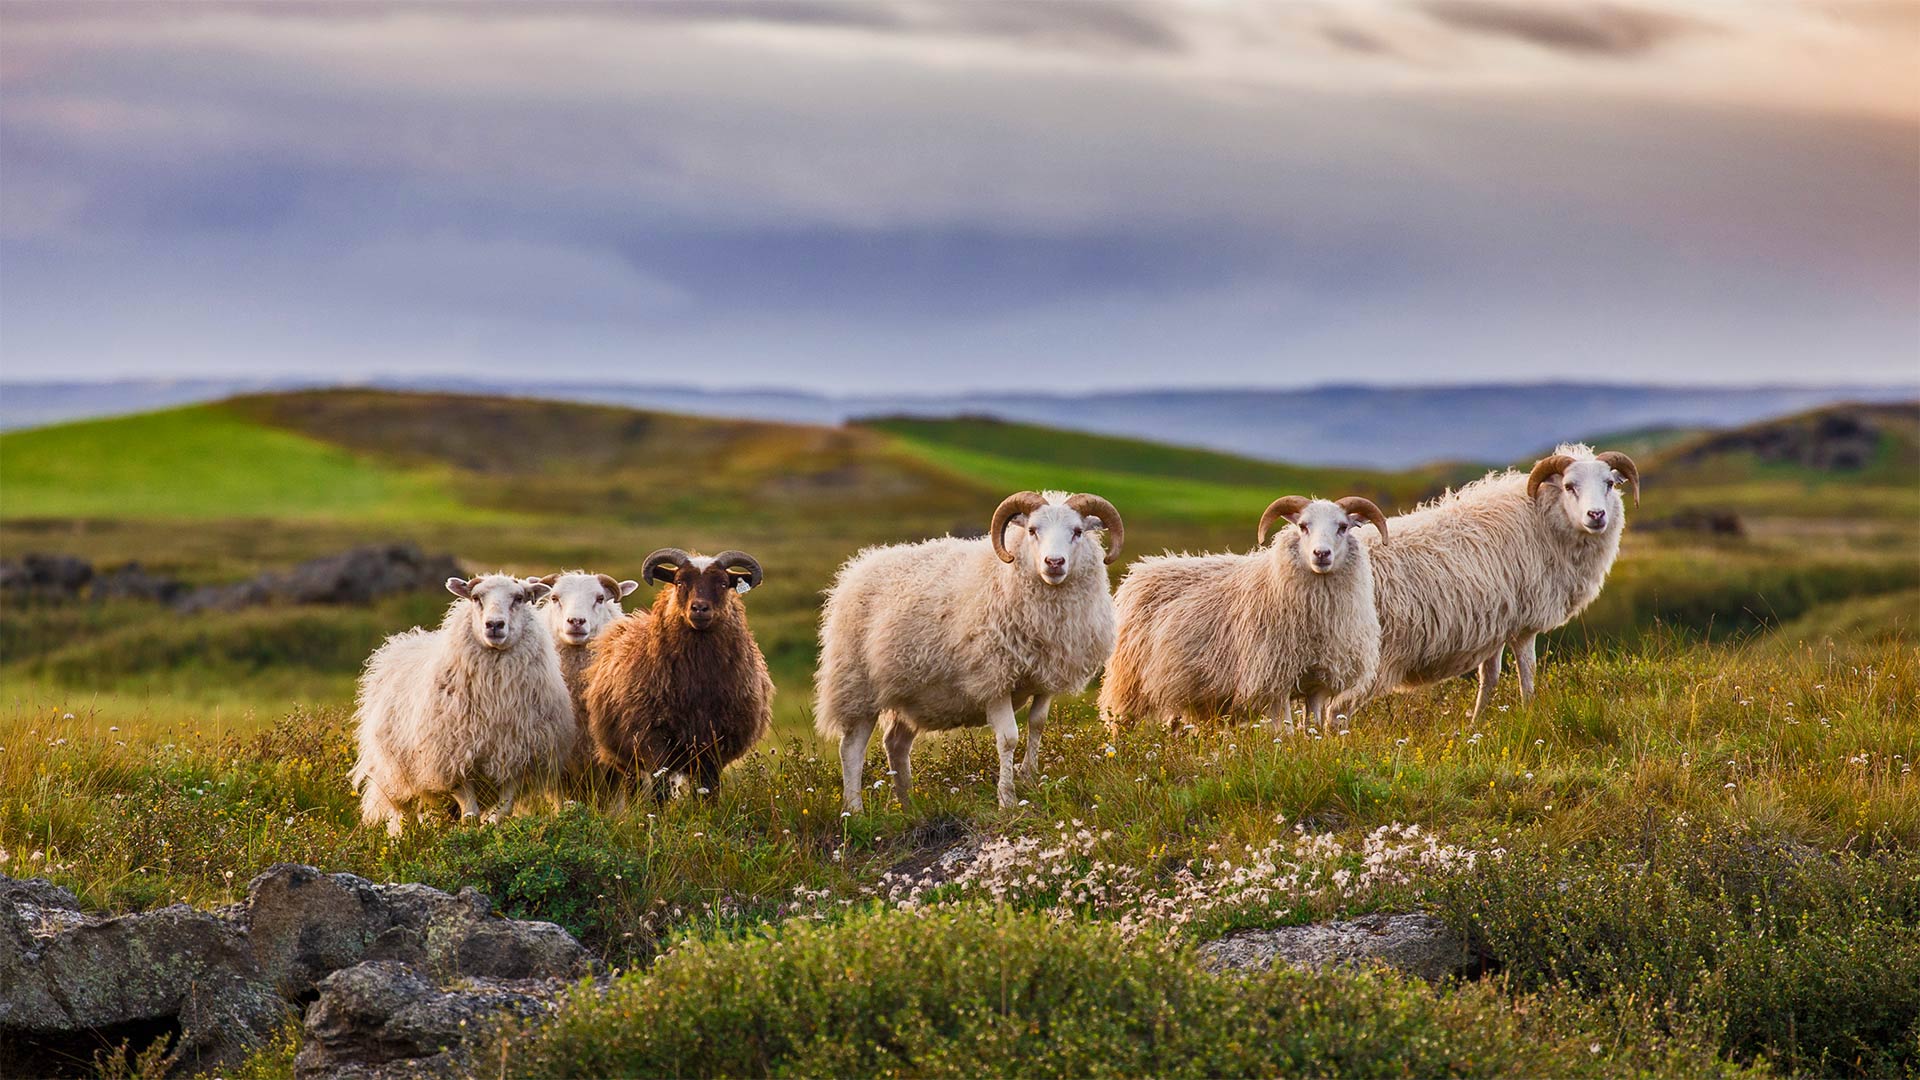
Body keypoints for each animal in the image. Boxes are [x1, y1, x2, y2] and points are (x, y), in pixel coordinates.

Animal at [350, 573, 575, 836]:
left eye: (519, 598)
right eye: (476, 598)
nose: (494, 625)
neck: (496, 703)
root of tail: (403, 641)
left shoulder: (516, 761)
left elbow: (502, 811)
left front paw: (489, 831)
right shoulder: (452, 762)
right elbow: (470, 815)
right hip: (395, 773)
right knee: (404, 814)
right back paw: (404, 838)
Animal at [583, 548, 773, 799]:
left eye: (723, 584)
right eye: (680, 582)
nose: (699, 609)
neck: (698, 682)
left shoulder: (715, 744)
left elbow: (709, 789)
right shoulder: (653, 740)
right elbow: (659, 791)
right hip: (625, 758)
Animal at [815, 490, 1124, 811]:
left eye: (1077, 531)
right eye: (1032, 530)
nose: (1054, 562)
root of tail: (858, 567)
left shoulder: (1045, 676)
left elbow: (1037, 724)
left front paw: (1028, 777)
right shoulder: (993, 678)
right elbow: (1008, 738)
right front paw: (1007, 799)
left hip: (910, 693)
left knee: (895, 744)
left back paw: (909, 806)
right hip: (857, 686)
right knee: (851, 749)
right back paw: (854, 810)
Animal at [1100, 495, 1388, 732]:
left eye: (1343, 527)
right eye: (1303, 526)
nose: (1321, 554)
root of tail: (1142, 569)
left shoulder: (1318, 683)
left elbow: (1313, 728)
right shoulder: (1272, 681)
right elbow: (1286, 731)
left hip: (1182, 686)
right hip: (1128, 679)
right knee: (1121, 722)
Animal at [1332, 444, 1639, 720]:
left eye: (1609, 483)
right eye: (1569, 486)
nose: (1596, 515)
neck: (1541, 520)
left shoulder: (1496, 626)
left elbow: (1489, 679)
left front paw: (1476, 725)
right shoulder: (1523, 625)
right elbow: (1527, 675)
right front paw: (1530, 717)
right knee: (1337, 710)